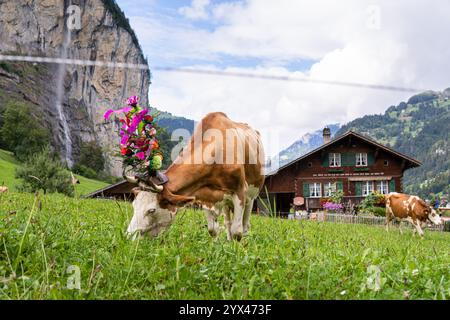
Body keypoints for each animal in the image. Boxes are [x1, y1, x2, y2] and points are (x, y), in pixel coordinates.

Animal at [123, 112, 266, 240]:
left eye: (151, 210)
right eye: (134, 204)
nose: (128, 237)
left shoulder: (240, 190)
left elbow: (237, 232)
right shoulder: (204, 196)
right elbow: (213, 230)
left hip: (251, 196)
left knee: (245, 226)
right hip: (227, 202)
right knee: (228, 223)